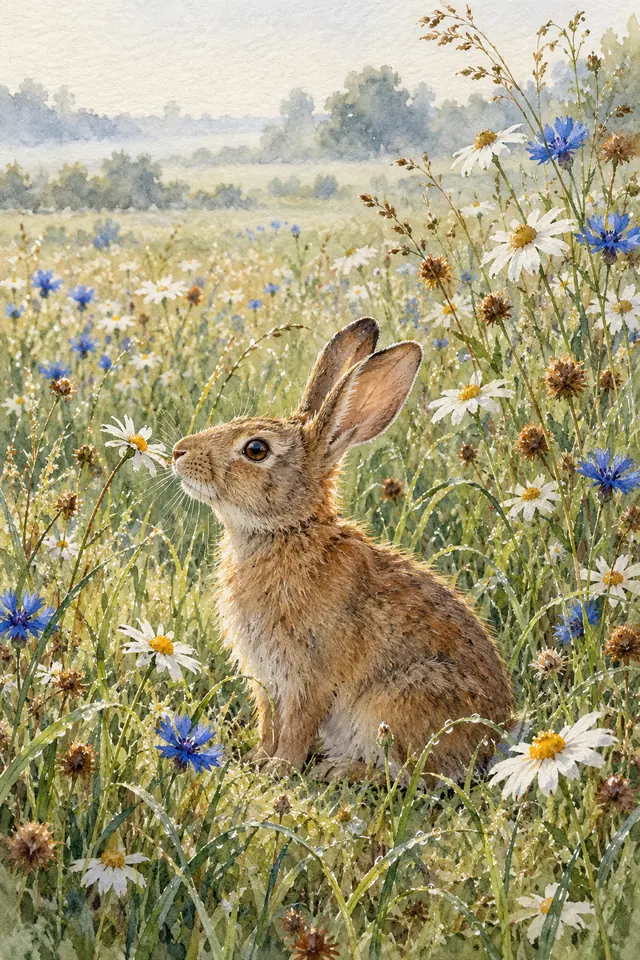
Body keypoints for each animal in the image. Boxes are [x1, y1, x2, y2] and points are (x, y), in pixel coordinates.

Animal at [172, 317, 513, 781]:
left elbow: (296, 729)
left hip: (398, 702)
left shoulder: (307, 678)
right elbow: (268, 723)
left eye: (256, 449)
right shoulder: (267, 680)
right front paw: (257, 761)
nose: (179, 452)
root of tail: (493, 741)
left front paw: (278, 770)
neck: (289, 530)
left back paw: (339, 771)